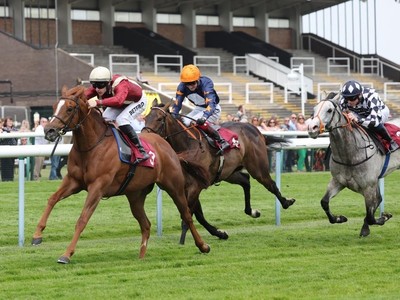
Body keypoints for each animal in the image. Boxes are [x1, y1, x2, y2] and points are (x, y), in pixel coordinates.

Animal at [31, 85, 209, 264]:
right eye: (54, 106)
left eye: (69, 108)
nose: (49, 130)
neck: (91, 146)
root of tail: (166, 144)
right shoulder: (73, 181)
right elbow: (52, 199)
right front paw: (37, 235)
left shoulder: (97, 187)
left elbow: (82, 219)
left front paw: (66, 254)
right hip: (136, 195)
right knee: (146, 224)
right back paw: (141, 257)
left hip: (174, 186)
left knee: (186, 215)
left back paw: (203, 246)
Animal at [142, 102, 296, 243]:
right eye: (145, 117)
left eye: (159, 119)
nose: (144, 136)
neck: (187, 147)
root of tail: (254, 128)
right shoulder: (186, 187)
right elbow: (198, 215)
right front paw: (220, 233)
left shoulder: (196, 186)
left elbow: (189, 213)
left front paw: (183, 239)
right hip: (228, 172)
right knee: (245, 180)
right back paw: (252, 211)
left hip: (257, 168)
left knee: (270, 184)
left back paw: (286, 202)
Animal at [308, 91, 398, 237]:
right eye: (314, 109)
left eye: (329, 110)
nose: (312, 128)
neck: (349, 154)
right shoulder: (338, 181)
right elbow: (324, 202)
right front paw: (340, 218)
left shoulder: (368, 186)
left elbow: (371, 216)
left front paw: (384, 217)